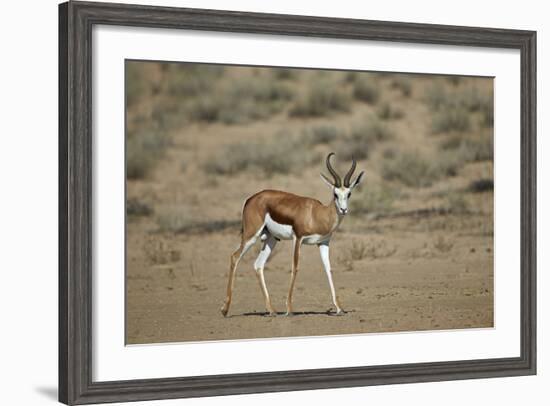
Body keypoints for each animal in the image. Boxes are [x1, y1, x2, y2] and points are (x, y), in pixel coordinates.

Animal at [222, 152, 364, 318]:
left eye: (349, 194)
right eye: (335, 194)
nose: (343, 210)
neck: (316, 214)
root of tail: (251, 199)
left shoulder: (323, 243)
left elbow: (328, 269)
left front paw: (339, 308)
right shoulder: (298, 238)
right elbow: (295, 268)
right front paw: (289, 309)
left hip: (271, 239)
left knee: (258, 265)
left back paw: (272, 310)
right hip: (251, 235)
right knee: (235, 257)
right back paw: (225, 310)